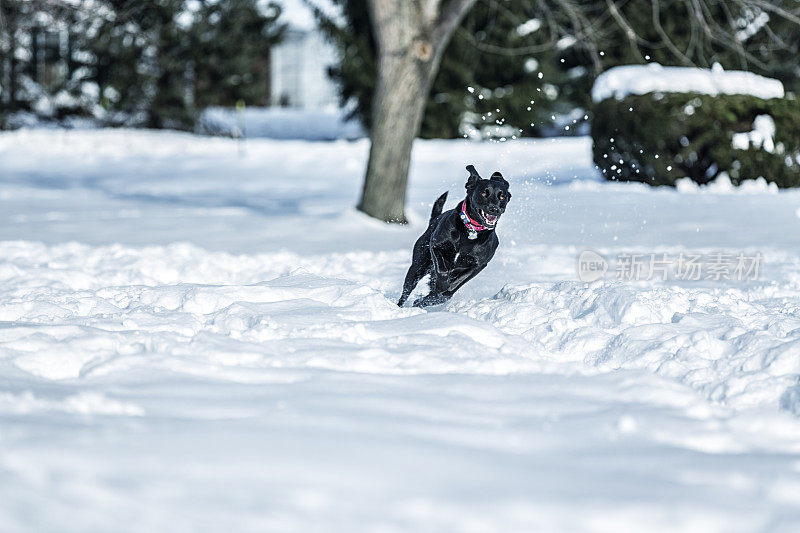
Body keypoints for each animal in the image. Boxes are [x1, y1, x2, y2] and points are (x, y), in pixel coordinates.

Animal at [396, 165, 510, 308]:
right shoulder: (436, 246)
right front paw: (441, 284)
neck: (470, 231)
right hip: (418, 265)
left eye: (502, 197)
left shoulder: (478, 265)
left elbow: (455, 284)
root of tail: (434, 220)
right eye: (484, 193)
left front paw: (436, 294)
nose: (494, 209)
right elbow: (442, 271)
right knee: (407, 290)